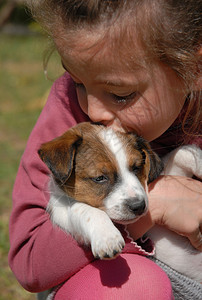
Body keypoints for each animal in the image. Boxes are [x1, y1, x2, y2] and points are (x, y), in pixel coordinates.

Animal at [38, 121, 202, 282]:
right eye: (100, 178)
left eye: (136, 168)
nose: (139, 206)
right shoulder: (61, 209)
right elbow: (81, 208)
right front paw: (107, 236)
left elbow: (184, 151)